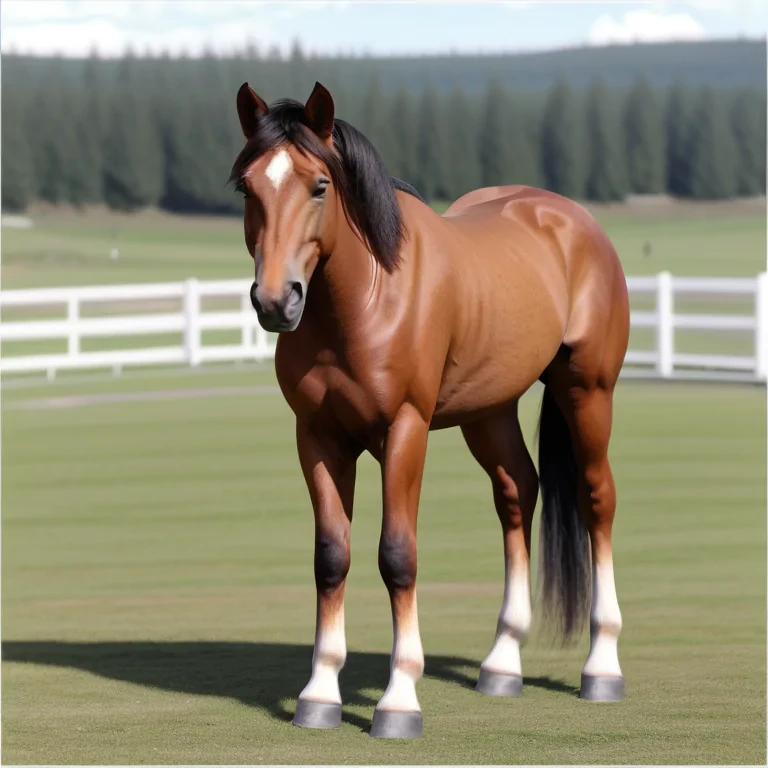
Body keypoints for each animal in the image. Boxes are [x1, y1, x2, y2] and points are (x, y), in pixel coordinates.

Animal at [229, 81, 630, 739]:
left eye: (320, 185)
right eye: (247, 186)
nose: (275, 301)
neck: (365, 301)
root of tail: (572, 220)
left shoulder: (405, 430)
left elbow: (398, 555)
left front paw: (398, 700)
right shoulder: (317, 436)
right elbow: (331, 556)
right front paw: (319, 693)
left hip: (587, 391)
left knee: (596, 499)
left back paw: (602, 665)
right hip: (489, 411)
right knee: (517, 493)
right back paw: (503, 662)